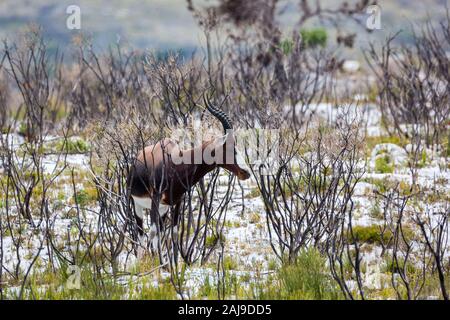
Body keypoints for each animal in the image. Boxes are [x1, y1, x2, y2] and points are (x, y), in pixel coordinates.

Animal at [128, 94, 251, 258]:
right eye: (230, 147)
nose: (246, 172)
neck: (173, 162)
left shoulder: (177, 202)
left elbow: (173, 233)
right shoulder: (155, 199)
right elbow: (153, 233)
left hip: (163, 209)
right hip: (138, 205)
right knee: (141, 232)